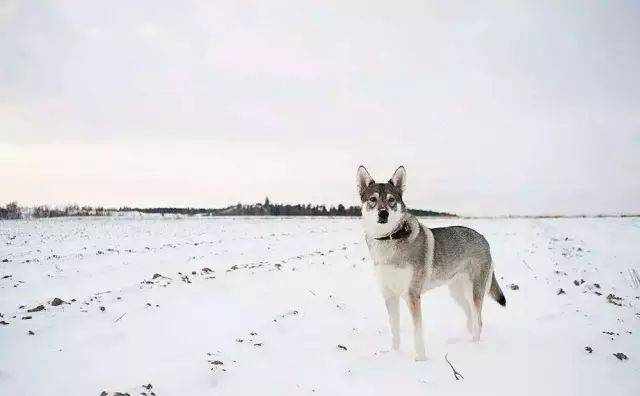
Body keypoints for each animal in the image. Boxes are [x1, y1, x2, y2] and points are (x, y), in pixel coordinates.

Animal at [356, 166, 504, 360]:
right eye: (373, 200)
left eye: (391, 200)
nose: (383, 213)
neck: (389, 240)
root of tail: (483, 238)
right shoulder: (389, 294)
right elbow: (394, 330)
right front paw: (394, 354)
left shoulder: (412, 295)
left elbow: (417, 332)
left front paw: (421, 359)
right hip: (457, 292)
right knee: (472, 318)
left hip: (474, 292)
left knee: (478, 321)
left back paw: (474, 349)